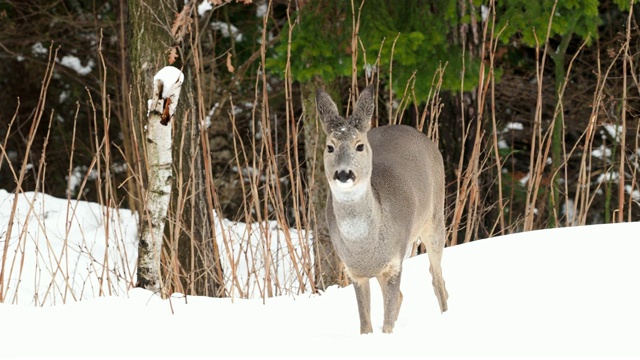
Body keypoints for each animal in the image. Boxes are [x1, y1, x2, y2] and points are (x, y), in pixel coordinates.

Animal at [316, 86, 448, 334]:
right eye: (330, 146)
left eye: (359, 145)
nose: (343, 174)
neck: (365, 246)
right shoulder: (355, 272)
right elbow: (365, 324)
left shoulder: (394, 264)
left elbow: (387, 323)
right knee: (404, 296)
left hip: (435, 217)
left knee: (437, 280)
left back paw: (446, 316)